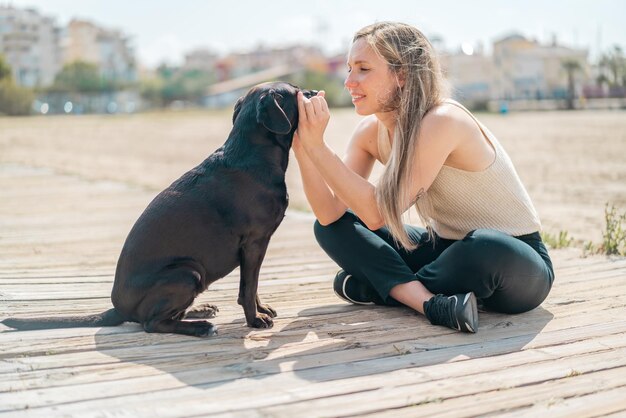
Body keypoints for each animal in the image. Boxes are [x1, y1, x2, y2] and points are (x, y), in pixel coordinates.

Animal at [3, 81, 316, 336]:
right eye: (297, 92)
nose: (314, 92)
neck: (253, 154)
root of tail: (119, 309)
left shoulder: (255, 248)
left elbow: (251, 287)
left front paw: (261, 311)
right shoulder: (253, 243)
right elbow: (249, 288)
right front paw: (255, 320)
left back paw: (200, 311)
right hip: (188, 272)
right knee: (152, 324)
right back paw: (200, 327)